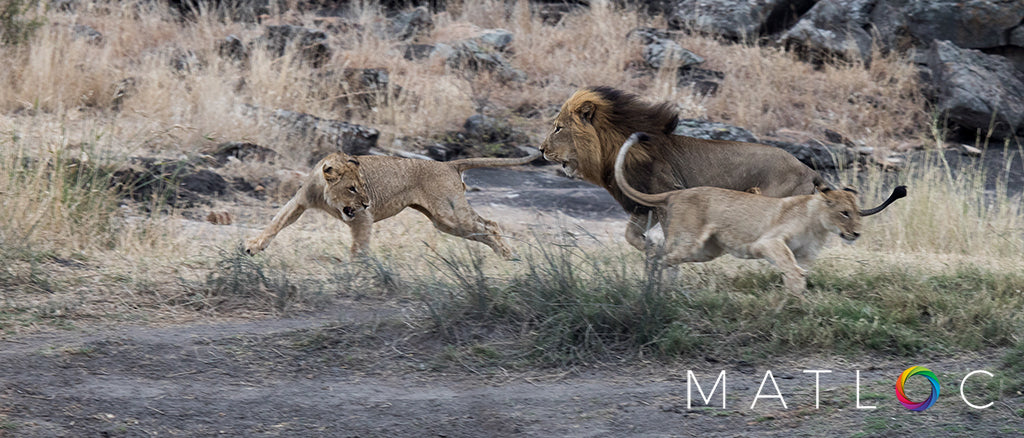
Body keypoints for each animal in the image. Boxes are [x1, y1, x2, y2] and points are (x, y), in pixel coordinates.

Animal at [544, 86, 823, 249]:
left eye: (558, 128)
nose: (541, 149)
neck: (611, 148)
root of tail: (809, 170)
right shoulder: (644, 205)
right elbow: (630, 235)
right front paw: (650, 248)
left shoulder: (666, 194)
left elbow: (670, 236)